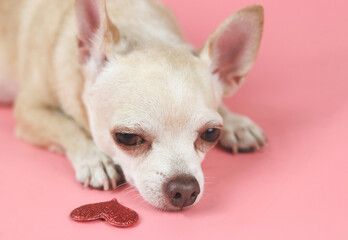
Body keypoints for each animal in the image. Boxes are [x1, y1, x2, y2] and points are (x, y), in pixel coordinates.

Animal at [0, 0, 266, 210]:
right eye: (127, 137)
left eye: (211, 133)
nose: (184, 189)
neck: (141, 31)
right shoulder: (29, 110)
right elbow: (66, 126)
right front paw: (95, 159)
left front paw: (236, 124)